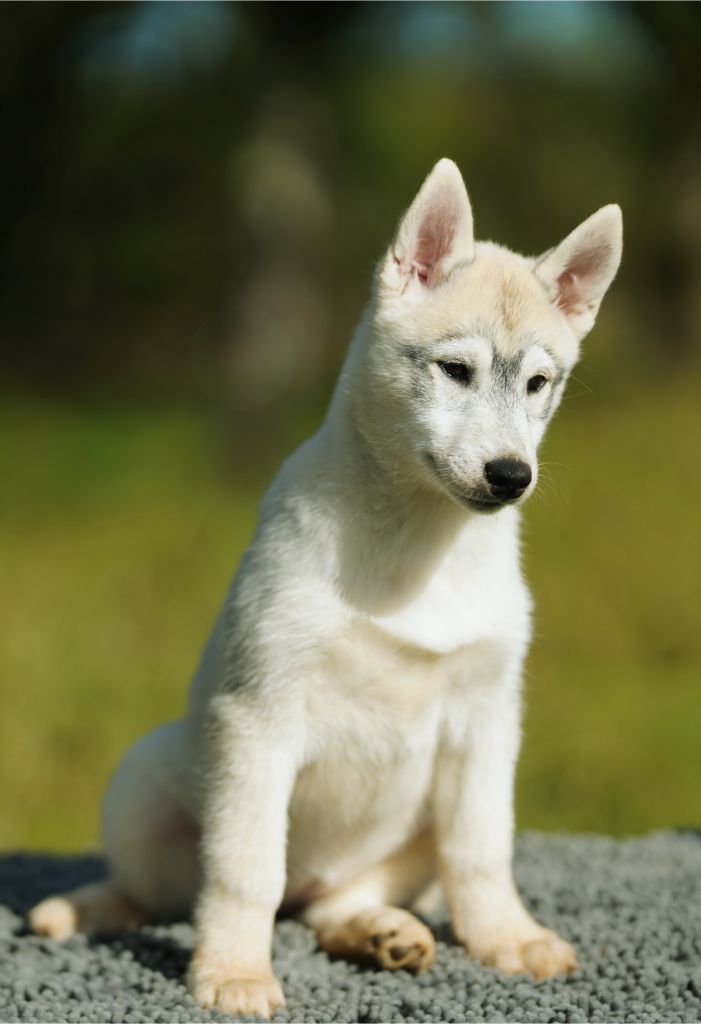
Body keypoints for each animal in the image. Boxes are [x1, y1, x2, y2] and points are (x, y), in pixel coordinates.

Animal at [29, 159, 622, 1017]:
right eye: (455, 370)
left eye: (540, 383)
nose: (511, 476)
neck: (418, 546)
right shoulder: (260, 716)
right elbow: (244, 870)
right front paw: (235, 973)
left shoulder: (484, 722)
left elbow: (481, 851)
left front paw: (507, 938)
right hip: (143, 781)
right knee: (159, 893)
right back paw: (77, 910)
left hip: (401, 846)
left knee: (331, 905)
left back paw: (380, 932)